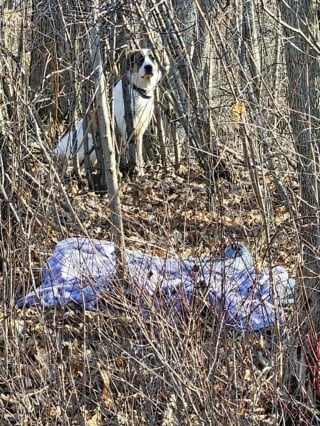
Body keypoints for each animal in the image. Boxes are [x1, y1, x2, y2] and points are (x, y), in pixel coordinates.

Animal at [54, 47, 162, 176]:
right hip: (90, 142)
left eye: (152, 58)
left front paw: (140, 172)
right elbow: (121, 153)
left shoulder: (139, 131)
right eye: (140, 59)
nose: (148, 67)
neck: (137, 90)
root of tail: (55, 152)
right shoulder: (123, 128)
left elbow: (139, 154)